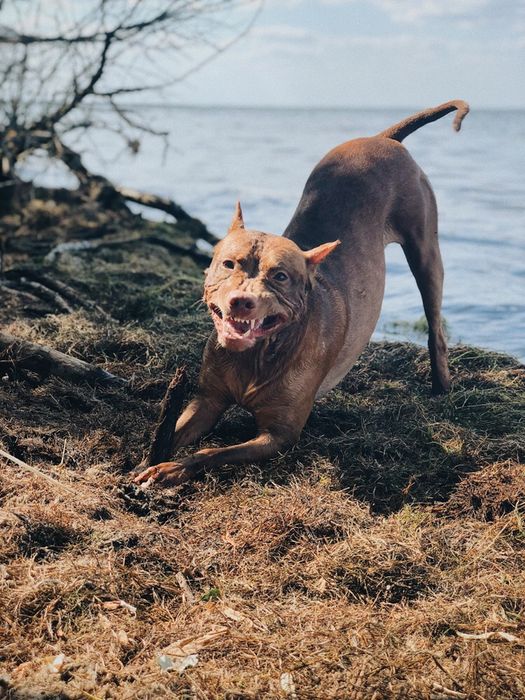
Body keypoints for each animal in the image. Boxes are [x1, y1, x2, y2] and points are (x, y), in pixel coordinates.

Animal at [134, 100, 466, 486]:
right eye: (229, 264)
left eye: (280, 276)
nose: (241, 302)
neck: (258, 355)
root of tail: (383, 138)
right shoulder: (207, 401)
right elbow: (175, 430)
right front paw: (147, 461)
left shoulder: (279, 435)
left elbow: (212, 453)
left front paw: (171, 469)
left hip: (425, 250)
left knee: (435, 324)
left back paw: (441, 385)